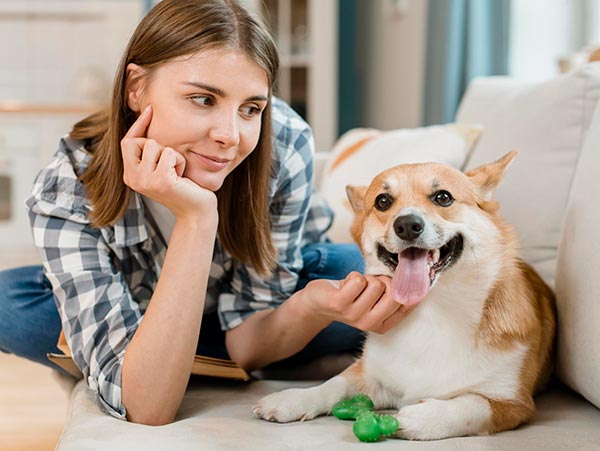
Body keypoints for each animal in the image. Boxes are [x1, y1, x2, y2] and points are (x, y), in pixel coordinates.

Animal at [253, 153, 556, 442]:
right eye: (383, 201)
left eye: (443, 197)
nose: (408, 225)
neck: (433, 312)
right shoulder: (369, 376)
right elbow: (333, 384)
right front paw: (293, 398)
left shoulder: (512, 403)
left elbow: (471, 404)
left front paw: (421, 418)